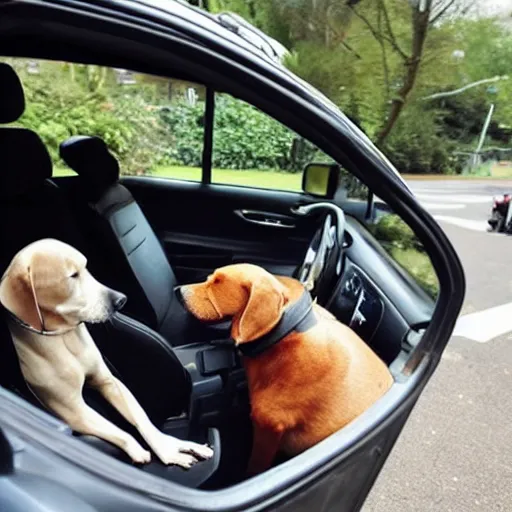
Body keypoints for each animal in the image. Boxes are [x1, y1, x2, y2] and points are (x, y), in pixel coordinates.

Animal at [0, 240, 212, 468]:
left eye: (86, 267)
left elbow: (142, 420)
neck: (63, 337)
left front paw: (168, 446)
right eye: (73, 275)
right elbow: (121, 432)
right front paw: (140, 450)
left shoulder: (108, 382)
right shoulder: (73, 411)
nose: (121, 300)